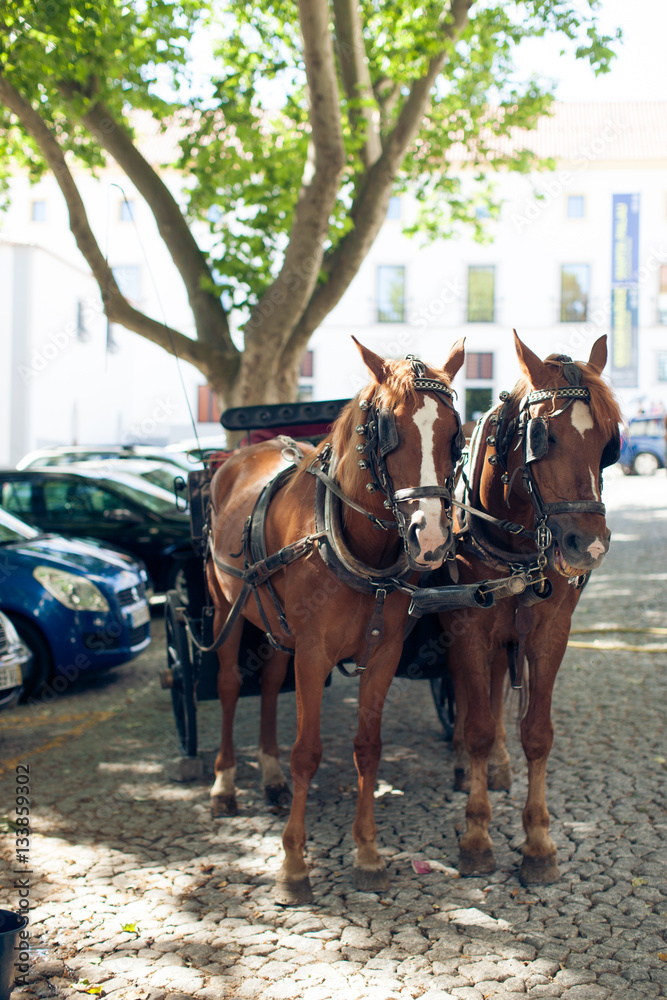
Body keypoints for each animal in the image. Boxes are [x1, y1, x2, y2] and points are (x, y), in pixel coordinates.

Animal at [207, 338, 464, 908]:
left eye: (455, 432)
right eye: (387, 428)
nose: (432, 538)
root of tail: (238, 456)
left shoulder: (384, 653)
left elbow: (368, 748)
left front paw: (367, 854)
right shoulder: (313, 653)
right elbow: (308, 752)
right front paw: (294, 865)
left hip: (276, 627)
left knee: (270, 680)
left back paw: (270, 777)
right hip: (222, 607)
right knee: (231, 685)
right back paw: (225, 785)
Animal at [446, 334, 624, 884]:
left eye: (609, 442)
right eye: (542, 436)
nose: (588, 546)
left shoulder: (550, 630)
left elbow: (538, 734)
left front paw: (539, 843)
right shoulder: (466, 627)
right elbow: (478, 728)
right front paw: (476, 836)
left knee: (497, 685)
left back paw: (499, 766)